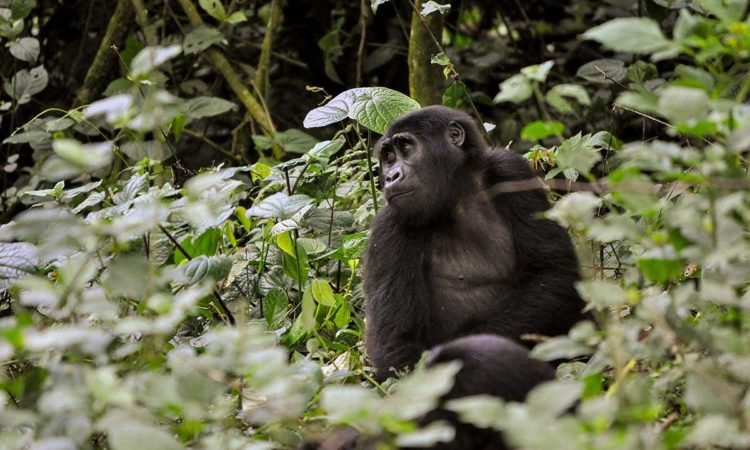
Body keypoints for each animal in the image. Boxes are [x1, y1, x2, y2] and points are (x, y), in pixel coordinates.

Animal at [364, 104, 588, 380]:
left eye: (406, 148)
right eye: (388, 157)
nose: (390, 176)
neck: (457, 195)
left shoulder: (510, 169)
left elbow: (553, 273)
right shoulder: (388, 229)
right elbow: (396, 347)